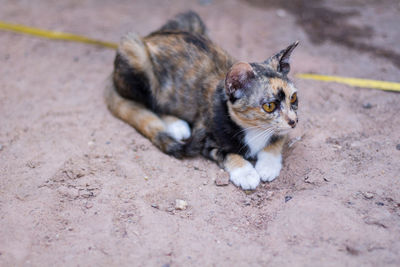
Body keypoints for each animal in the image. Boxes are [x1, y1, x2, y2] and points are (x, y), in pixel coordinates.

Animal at [104, 11, 298, 191]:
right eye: (269, 106)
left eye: (294, 98)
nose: (294, 121)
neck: (254, 129)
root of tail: (148, 37)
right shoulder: (207, 139)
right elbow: (228, 153)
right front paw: (246, 173)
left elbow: (277, 139)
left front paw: (268, 166)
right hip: (134, 52)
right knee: (151, 102)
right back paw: (176, 124)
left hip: (191, 18)